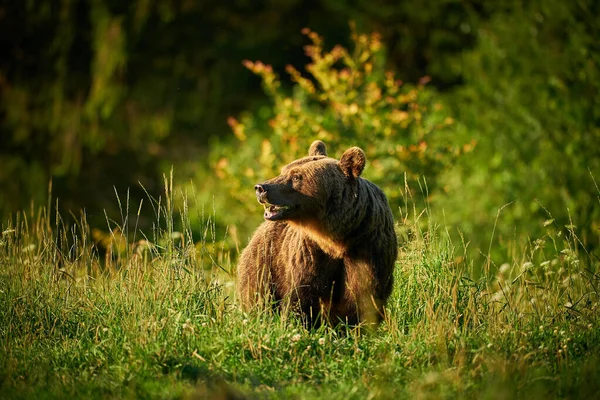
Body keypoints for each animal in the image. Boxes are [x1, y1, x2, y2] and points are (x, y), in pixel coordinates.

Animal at [236, 140, 398, 324]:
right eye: (284, 170)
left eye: (296, 177)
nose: (261, 188)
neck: (337, 239)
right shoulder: (310, 253)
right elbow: (300, 296)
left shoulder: (368, 249)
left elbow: (364, 298)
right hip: (266, 261)